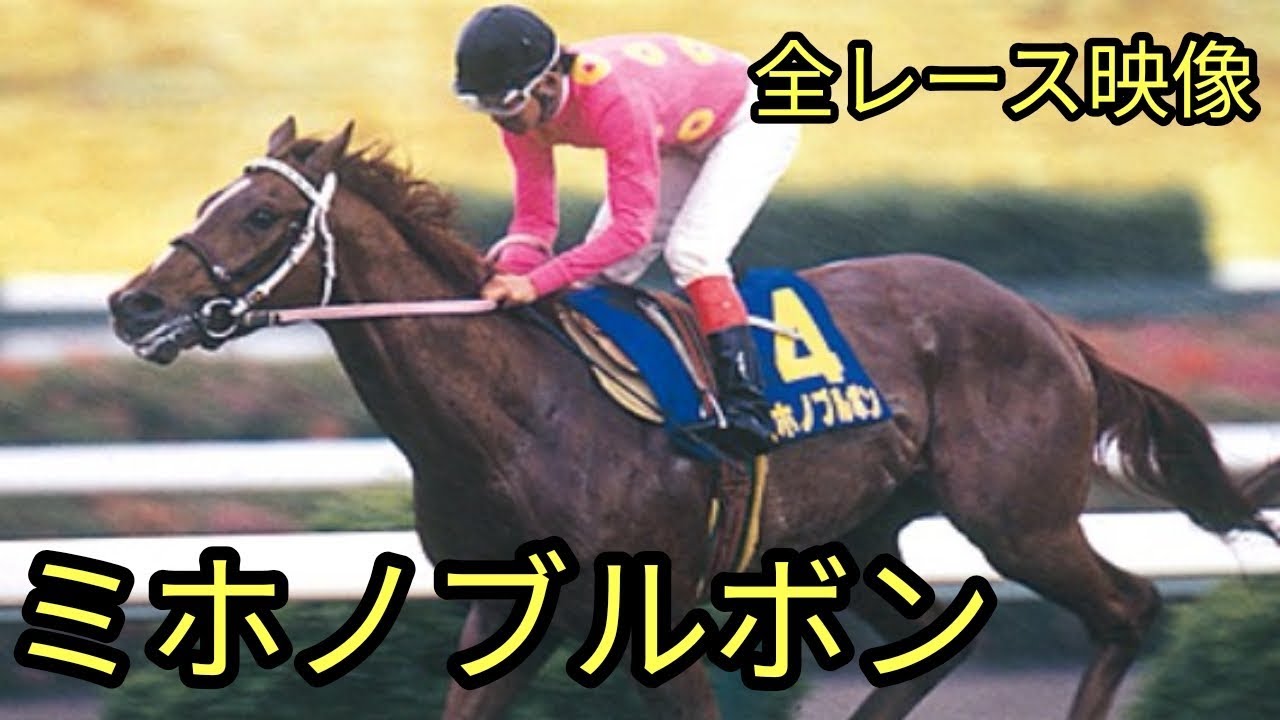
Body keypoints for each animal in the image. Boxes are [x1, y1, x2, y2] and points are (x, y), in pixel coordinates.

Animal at [108, 118, 1278, 719]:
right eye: (211, 203)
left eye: (261, 214)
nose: (133, 304)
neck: (517, 413)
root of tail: (1043, 319)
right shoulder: (501, 610)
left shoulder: (658, 607)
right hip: (859, 534)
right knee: (938, 644)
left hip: (1018, 515)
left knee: (1126, 607)